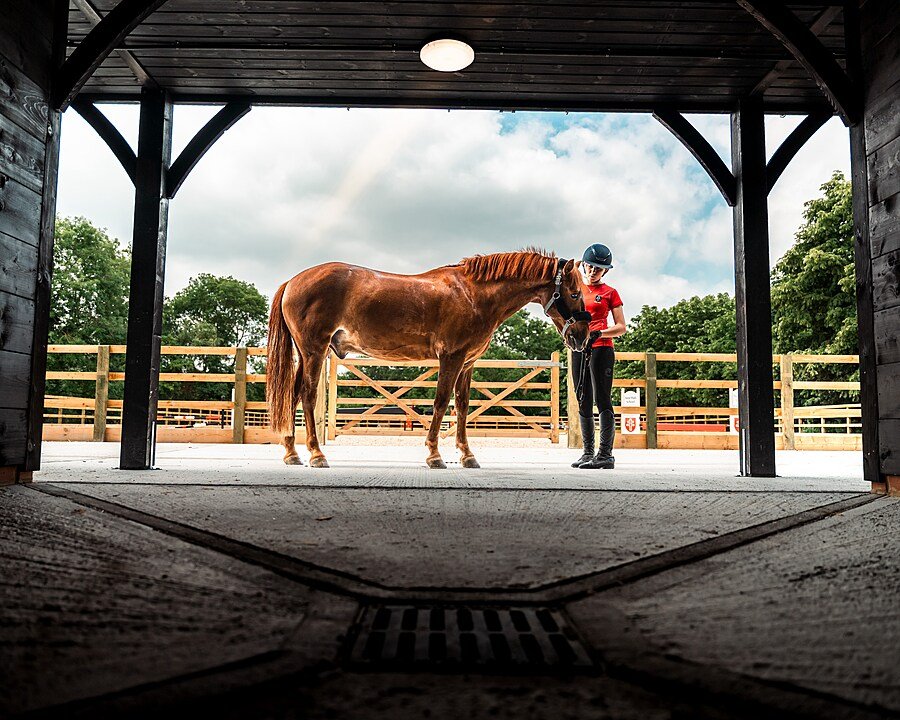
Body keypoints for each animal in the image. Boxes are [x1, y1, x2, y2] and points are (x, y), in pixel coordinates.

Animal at [266, 249, 591, 468]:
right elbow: (441, 402)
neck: (473, 294)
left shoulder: (467, 363)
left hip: (304, 354)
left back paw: (292, 453)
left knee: (293, 395)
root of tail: (293, 281)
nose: (582, 336)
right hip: (314, 351)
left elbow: (462, 406)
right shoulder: (451, 357)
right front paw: (434, 454)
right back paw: (317, 454)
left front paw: (467, 455)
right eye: (575, 293)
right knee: (307, 395)